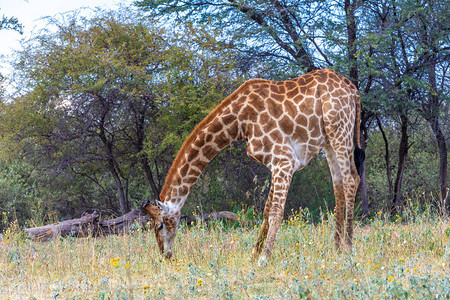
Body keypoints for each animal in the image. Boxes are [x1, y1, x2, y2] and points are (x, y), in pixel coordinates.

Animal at [144, 68, 366, 264]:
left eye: (160, 226)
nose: (165, 255)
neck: (240, 123)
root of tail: (354, 90)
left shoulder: (284, 160)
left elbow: (275, 212)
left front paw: (264, 258)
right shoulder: (275, 163)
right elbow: (266, 211)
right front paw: (253, 254)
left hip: (340, 130)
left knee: (351, 179)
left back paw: (348, 247)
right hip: (328, 140)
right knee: (338, 184)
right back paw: (336, 248)